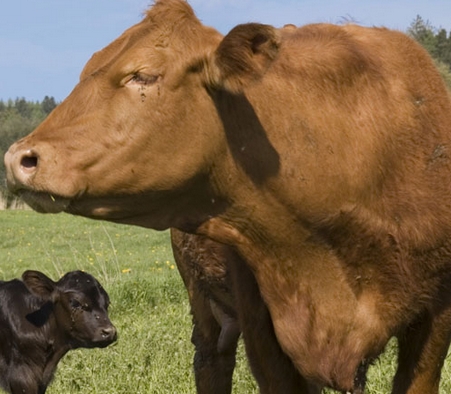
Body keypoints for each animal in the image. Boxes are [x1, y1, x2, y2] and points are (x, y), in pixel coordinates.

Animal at [5, 1, 451, 392]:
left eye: (143, 75)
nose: (18, 157)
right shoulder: (261, 323)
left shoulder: (436, 314)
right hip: (203, 305)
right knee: (211, 362)